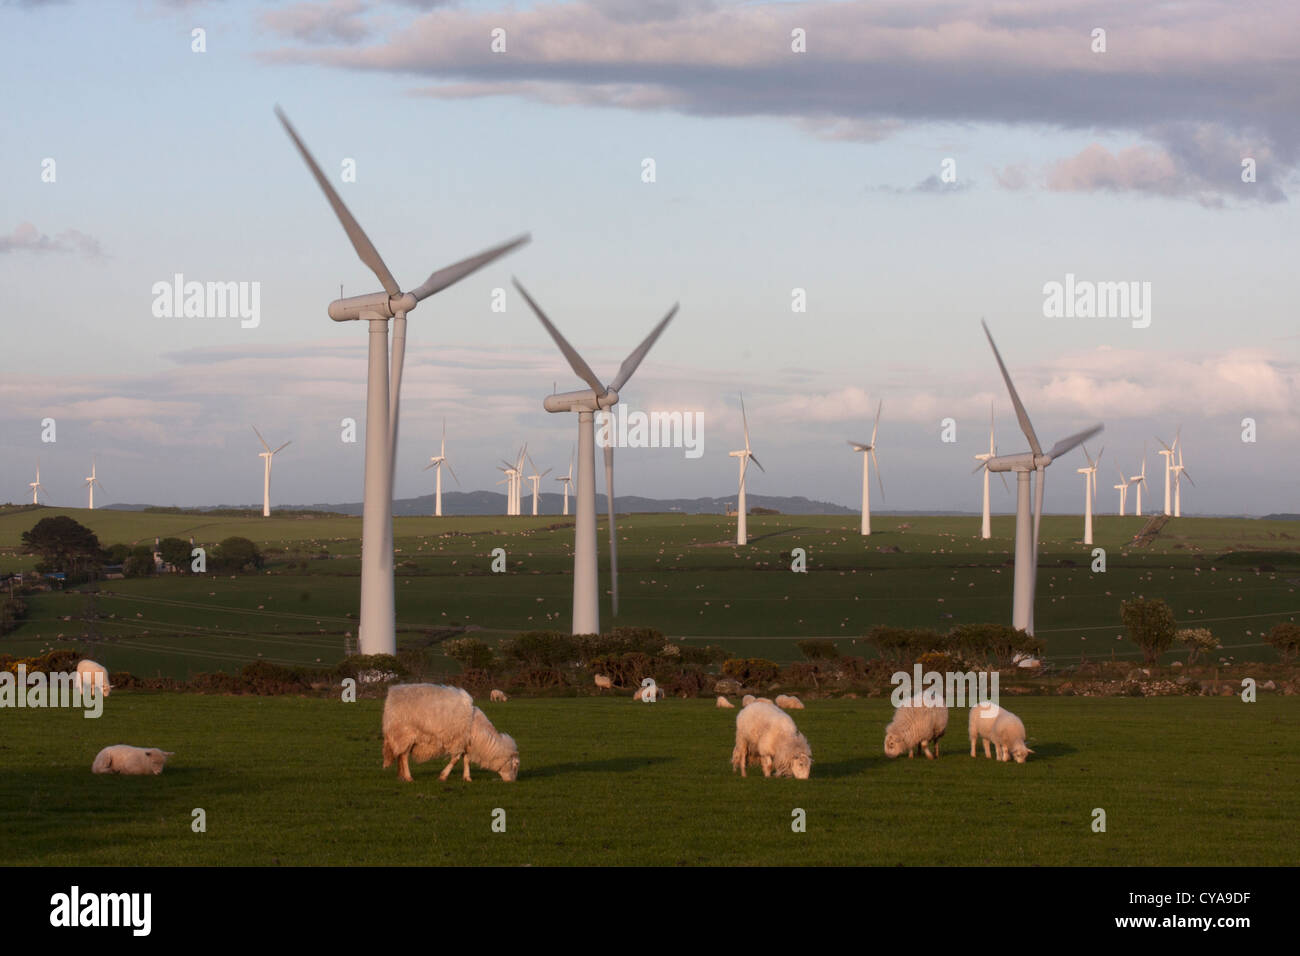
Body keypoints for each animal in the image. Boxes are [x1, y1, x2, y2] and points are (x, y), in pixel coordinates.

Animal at [379, 686, 517, 785]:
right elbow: (455, 759)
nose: (513, 782)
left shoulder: (465, 742)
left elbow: (466, 759)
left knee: (400, 755)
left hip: (401, 737)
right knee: (404, 756)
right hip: (406, 735)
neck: (476, 729)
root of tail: (391, 698)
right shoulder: (459, 741)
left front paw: (467, 777)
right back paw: (408, 777)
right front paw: (443, 776)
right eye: (515, 765)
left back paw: (401, 776)